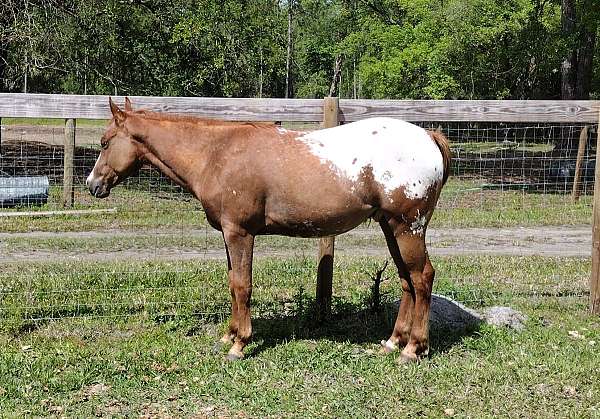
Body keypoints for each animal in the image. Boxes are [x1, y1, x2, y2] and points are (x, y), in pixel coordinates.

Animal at [85, 97, 450, 360]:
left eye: (104, 143)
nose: (92, 185)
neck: (216, 154)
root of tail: (428, 136)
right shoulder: (228, 235)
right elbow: (233, 284)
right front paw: (229, 335)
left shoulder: (240, 233)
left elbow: (242, 286)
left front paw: (240, 344)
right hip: (391, 227)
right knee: (406, 281)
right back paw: (393, 341)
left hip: (408, 227)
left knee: (422, 277)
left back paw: (413, 348)